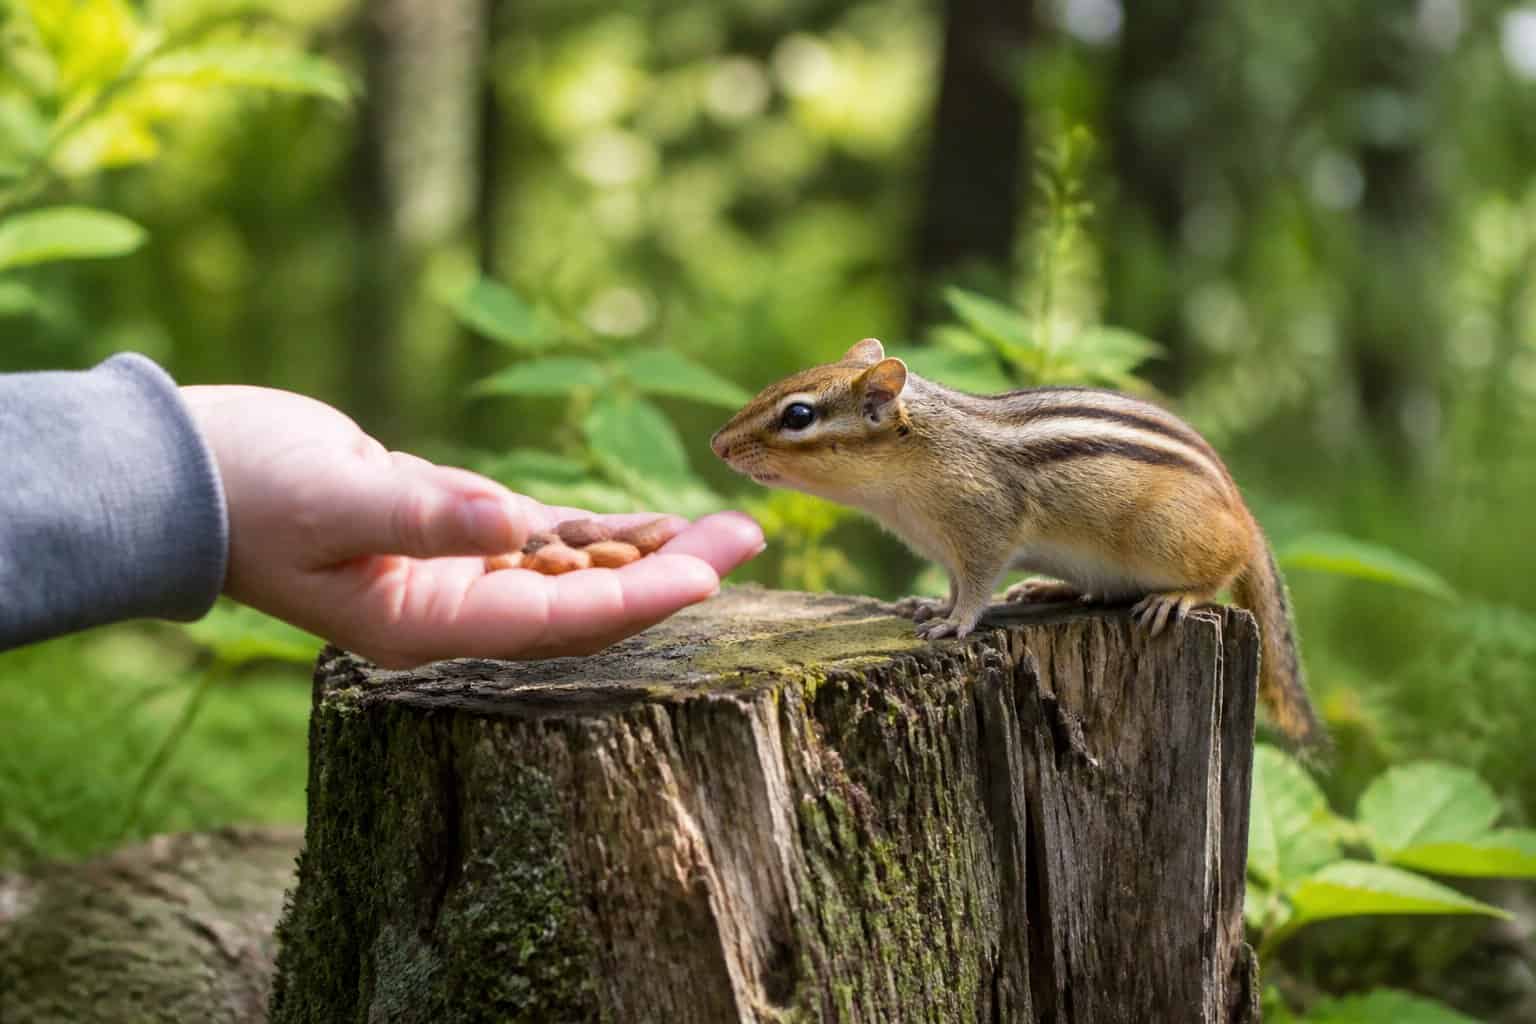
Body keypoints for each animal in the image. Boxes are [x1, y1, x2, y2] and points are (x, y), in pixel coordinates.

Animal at [711, 337, 1325, 748]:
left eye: (798, 415)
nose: (718, 443)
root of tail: (1244, 515)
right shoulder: (947, 547)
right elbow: (954, 583)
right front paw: (929, 605)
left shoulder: (986, 530)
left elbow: (978, 585)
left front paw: (955, 623)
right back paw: (1048, 590)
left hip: (1173, 536)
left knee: (1221, 569)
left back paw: (1176, 597)